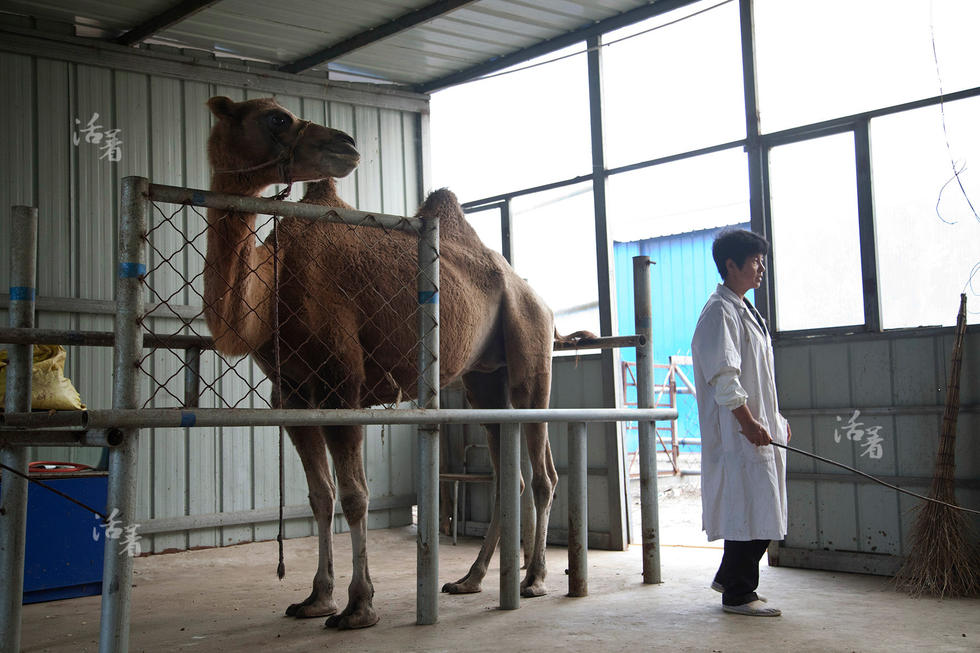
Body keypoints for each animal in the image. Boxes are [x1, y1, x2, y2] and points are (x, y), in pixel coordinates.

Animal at [204, 96, 567, 629]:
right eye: (276, 117)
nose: (346, 143)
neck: (274, 284)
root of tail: (534, 294)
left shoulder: (342, 380)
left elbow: (355, 495)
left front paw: (358, 605)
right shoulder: (291, 392)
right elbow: (319, 495)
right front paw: (315, 598)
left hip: (531, 355)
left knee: (542, 475)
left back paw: (535, 579)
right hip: (484, 379)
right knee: (509, 474)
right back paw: (470, 579)